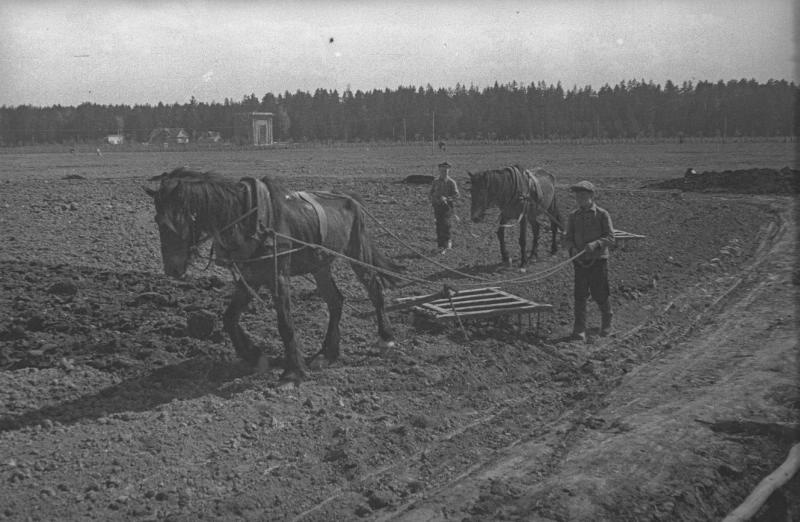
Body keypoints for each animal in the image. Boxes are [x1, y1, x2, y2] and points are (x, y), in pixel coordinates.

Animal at [144, 169, 400, 380]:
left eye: (176, 220)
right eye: (157, 219)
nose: (172, 268)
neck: (249, 218)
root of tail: (349, 197)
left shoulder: (278, 278)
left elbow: (285, 324)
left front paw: (293, 371)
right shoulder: (251, 278)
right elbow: (229, 317)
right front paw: (255, 356)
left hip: (357, 251)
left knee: (374, 289)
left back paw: (386, 338)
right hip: (319, 265)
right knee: (335, 301)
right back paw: (327, 353)